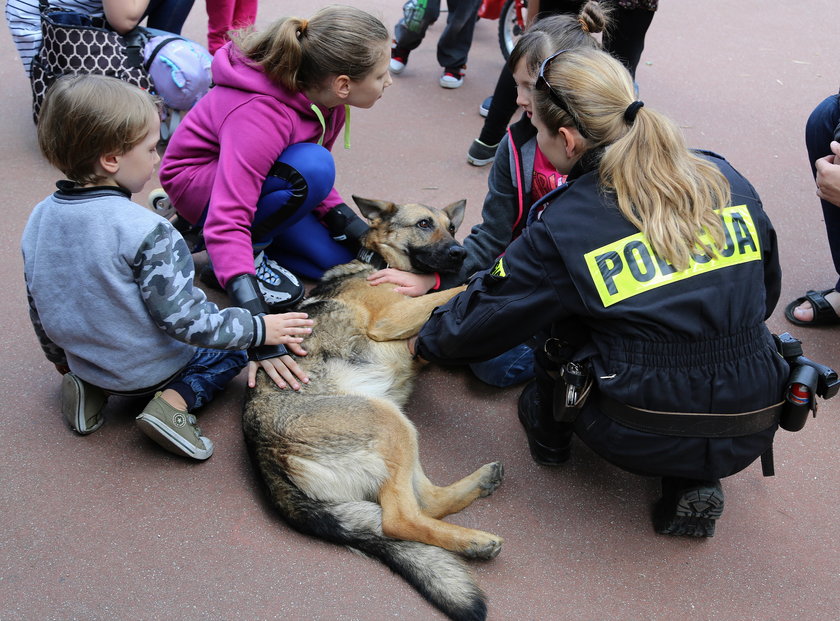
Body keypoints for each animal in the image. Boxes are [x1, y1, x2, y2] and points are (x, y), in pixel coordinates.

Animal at [243, 196, 506, 616]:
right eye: (423, 223)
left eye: (452, 228)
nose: (460, 253)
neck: (379, 262)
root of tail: (263, 455)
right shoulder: (393, 317)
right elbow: (444, 294)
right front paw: (480, 278)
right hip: (388, 422)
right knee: (399, 519)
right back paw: (472, 541)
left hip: (394, 425)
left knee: (423, 502)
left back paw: (477, 494)